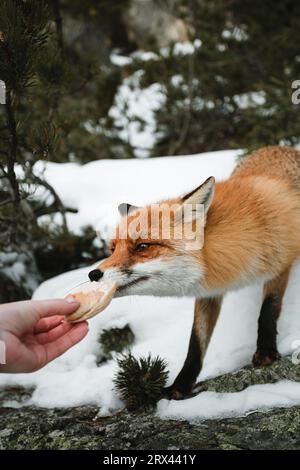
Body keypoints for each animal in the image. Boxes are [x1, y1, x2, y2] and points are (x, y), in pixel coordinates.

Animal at [89, 145, 300, 398]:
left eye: (142, 247)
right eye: (112, 249)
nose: (92, 275)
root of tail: (277, 147)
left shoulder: (280, 262)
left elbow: (268, 310)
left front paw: (266, 351)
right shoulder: (209, 292)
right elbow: (196, 342)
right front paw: (181, 384)